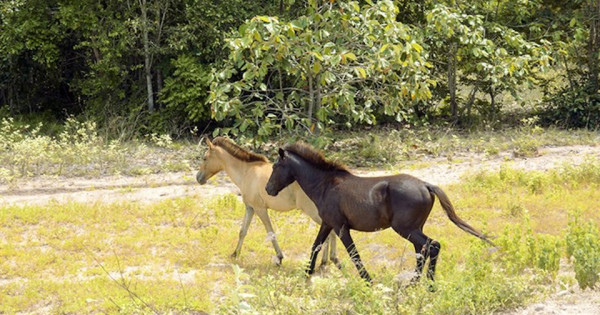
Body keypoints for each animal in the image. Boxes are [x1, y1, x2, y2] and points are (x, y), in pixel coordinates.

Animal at [198, 138, 336, 266]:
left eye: (205, 158)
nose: (198, 177)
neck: (246, 172)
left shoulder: (260, 209)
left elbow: (270, 232)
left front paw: (279, 257)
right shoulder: (250, 208)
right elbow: (243, 231)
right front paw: (235, 253)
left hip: (314, 213)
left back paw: (328, 260)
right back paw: (326, 261)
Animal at [266, 143, 492, 284]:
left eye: (276, 166)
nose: (268, 189)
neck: (325, 185)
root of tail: (426, 185)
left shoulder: (341, 227)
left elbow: (354, 254)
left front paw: (368, 280)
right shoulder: (327, 224)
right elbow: (315, 246)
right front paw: (306, 273)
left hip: (406, 228)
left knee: (433, 246)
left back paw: (428, 283)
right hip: (414, 228)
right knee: (423, 249)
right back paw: (415, 282)